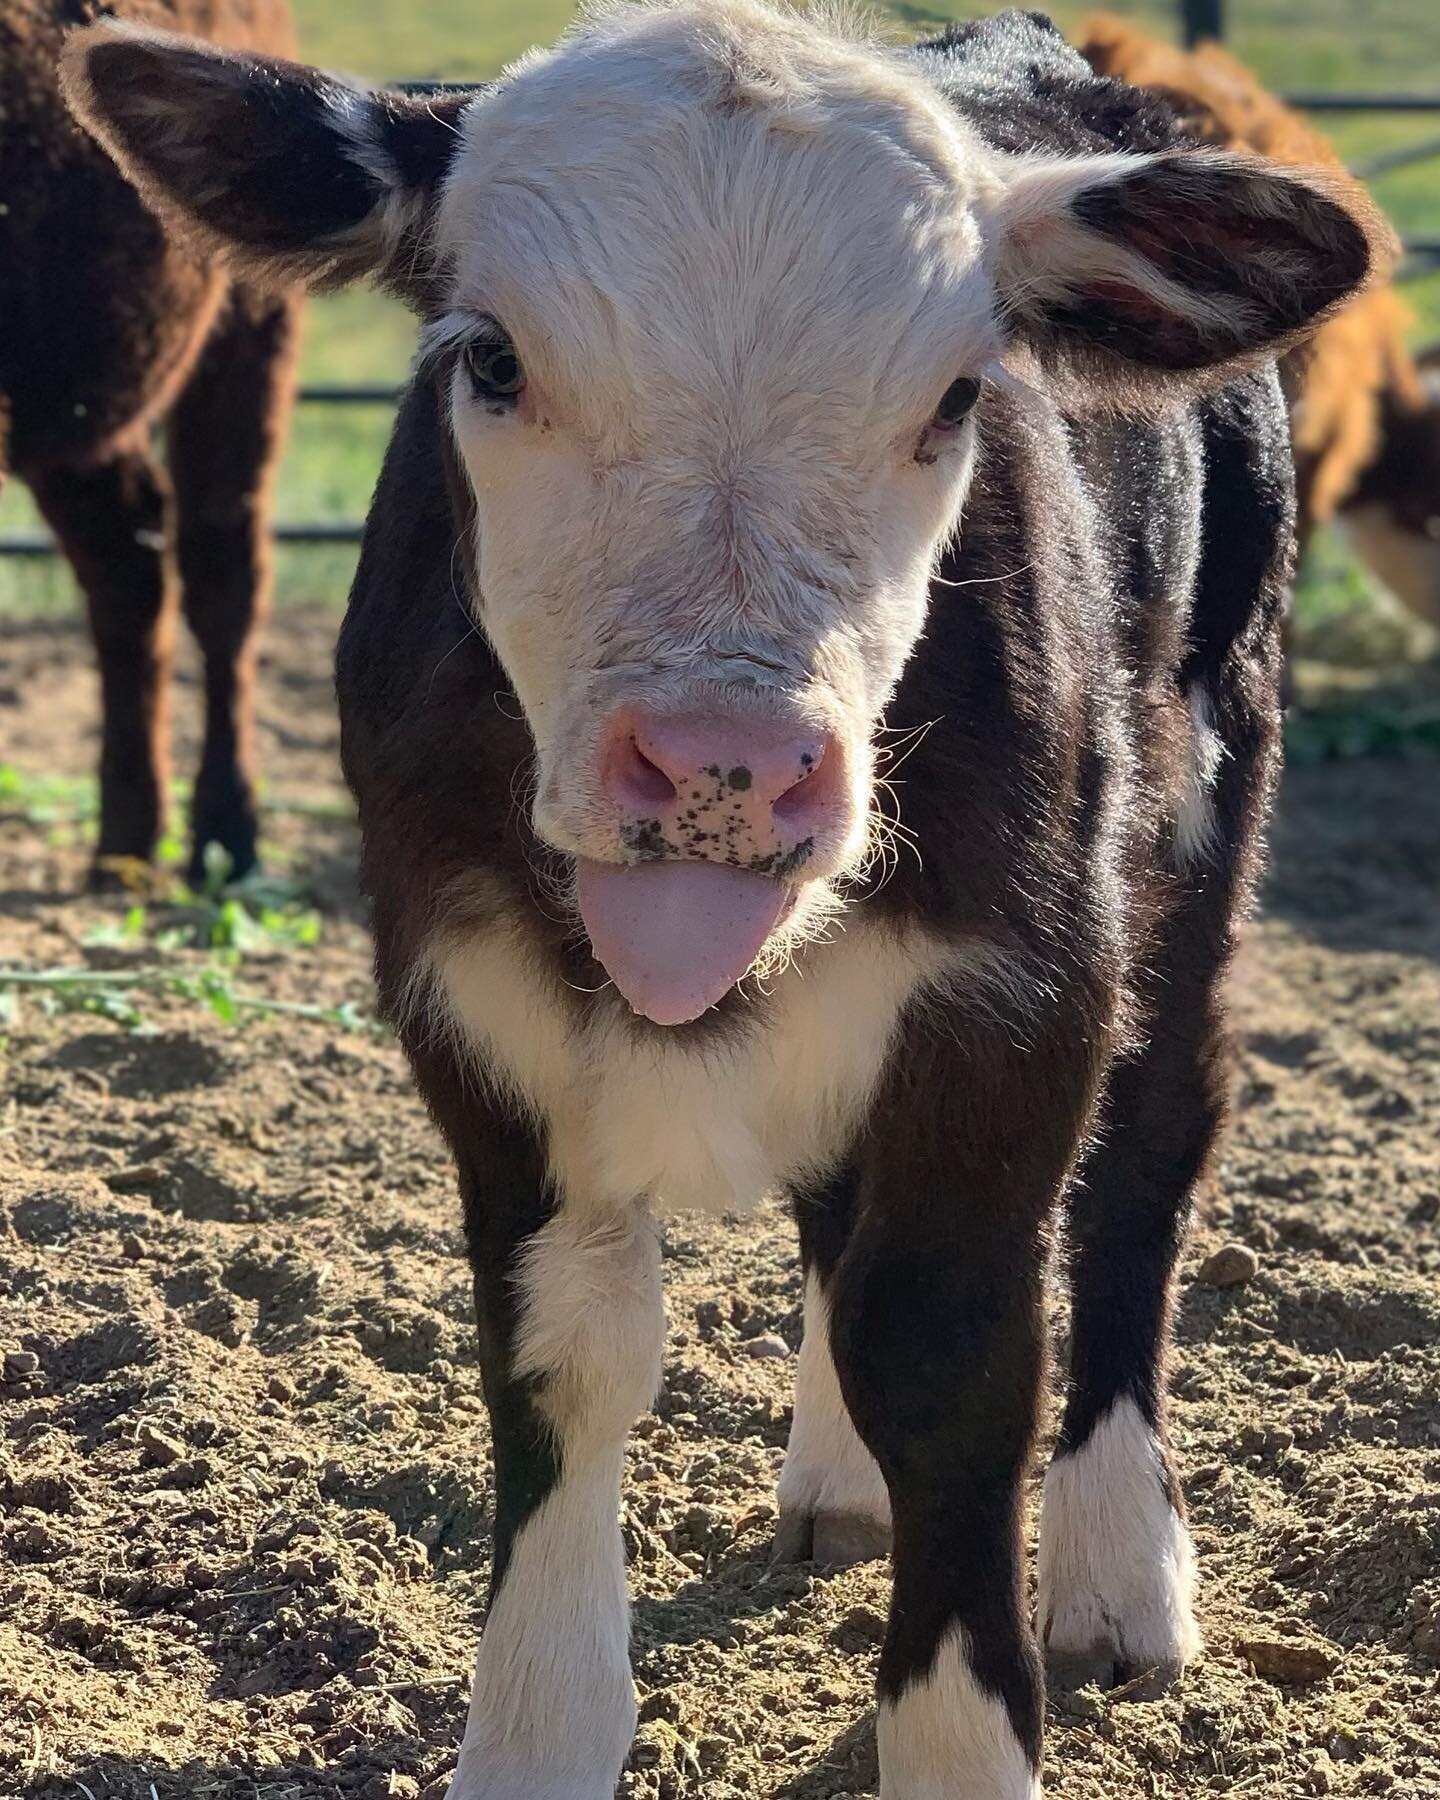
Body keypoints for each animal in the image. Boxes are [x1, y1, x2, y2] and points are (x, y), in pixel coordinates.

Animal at [67, 7, 1382, 1792]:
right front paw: (538, 1731)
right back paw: (837, 1477)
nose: (724, 763)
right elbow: (568, 1355)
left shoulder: (1017, 998)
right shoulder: (469, 1006)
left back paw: (1121, 1565)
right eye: (492, 359)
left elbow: (954, 1356)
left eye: (958, 395)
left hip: (1206, 785)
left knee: (1151, 1158)